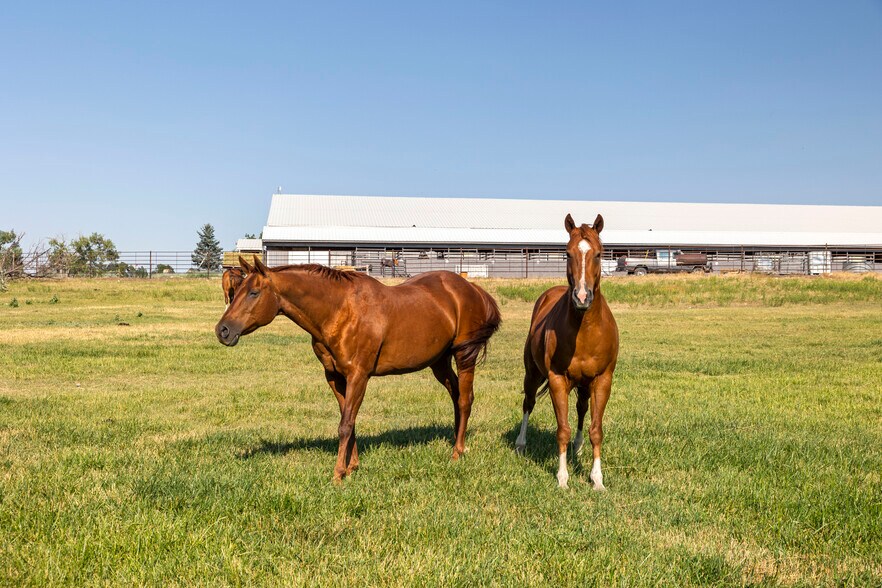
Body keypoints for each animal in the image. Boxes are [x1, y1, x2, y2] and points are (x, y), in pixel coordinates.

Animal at [215, 256, 502, 482]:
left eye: (254, 293)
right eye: (237, 290)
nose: (223, 330)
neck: (339, 311)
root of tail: (472, 288)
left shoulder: (358, 376)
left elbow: (345, 424)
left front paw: (337, 474)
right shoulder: (335, 378)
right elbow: (349, 421)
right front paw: (351, 467)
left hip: (464, 355)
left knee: (465, 399)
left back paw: (457, 452)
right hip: (439, 361)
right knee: (455, 396)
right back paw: (455, 442)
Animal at [515, 214, 619, 490]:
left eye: (598, 253)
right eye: (568, 253)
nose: (582, 297)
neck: (584, 329)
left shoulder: (602, 380)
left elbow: (596, 430)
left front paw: (597, 480)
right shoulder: (557, 380)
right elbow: (562, 429)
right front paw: (562, 478)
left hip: (584, 384)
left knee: (582, 410)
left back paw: (579, 447)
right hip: (533, 375)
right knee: (528, 403)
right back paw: (520, 444)